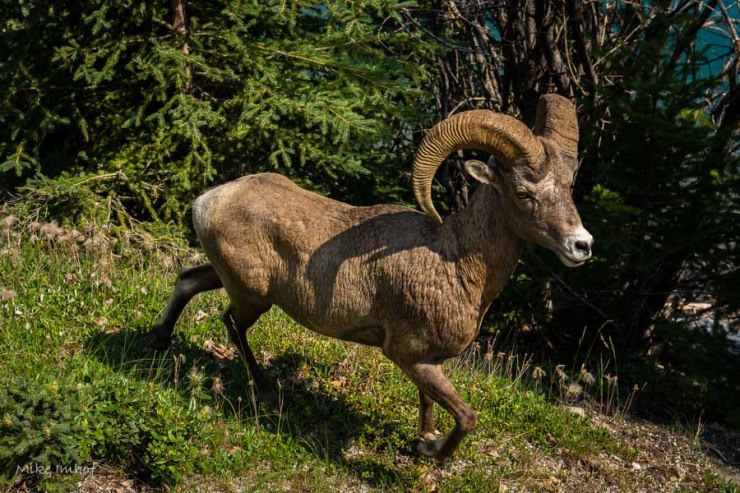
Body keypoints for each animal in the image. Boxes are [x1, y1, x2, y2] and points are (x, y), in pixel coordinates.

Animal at [151, 94, 593, 464]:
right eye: (523, 193)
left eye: (568, 187)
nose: (581, 245)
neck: (453, 263)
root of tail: (208, 201)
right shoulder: (409, 356)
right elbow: (466, 417)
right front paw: (432, 450)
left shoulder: (427, 363)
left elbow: (429, 404)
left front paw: (422, 440)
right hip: (252, 297)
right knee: (231, 322)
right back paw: (266, 391)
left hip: (227, 279)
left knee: (188, 281)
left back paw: (159, 340)